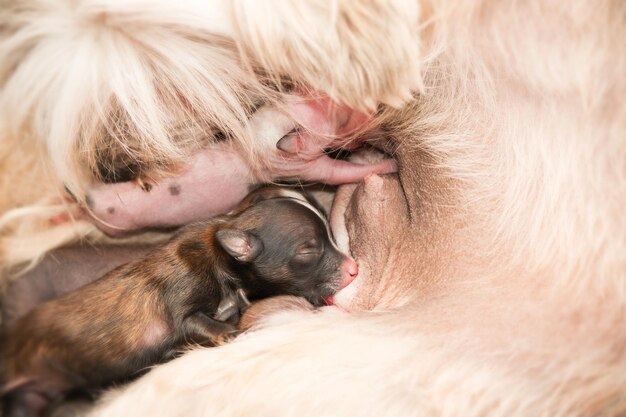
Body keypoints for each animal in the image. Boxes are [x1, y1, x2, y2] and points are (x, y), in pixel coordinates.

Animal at [1, 186, 356, 416]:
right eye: (308, 250)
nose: (353, 269)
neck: (224, 259)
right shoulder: (182, 311)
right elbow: (208, 325)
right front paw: (236, 335)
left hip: (32, 395)